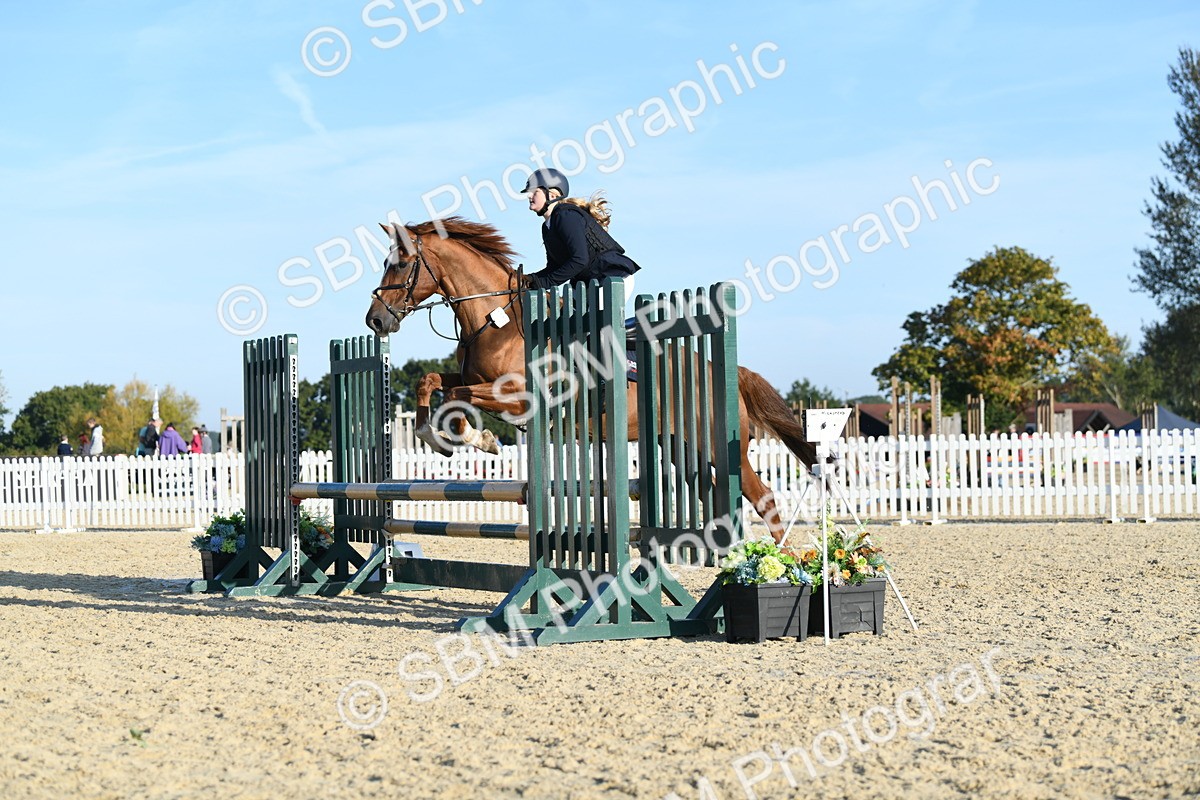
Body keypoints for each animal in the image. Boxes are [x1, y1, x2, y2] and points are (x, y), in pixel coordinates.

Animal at [364, 217, 817, 542]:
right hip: (681, 448)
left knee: (763, 497)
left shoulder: (515, 395)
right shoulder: (472, 377)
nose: (375, 321)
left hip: (719, 447)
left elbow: (457, 397)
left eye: (400, 264)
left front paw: (477, 438)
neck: (494, 319)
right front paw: (432, 434)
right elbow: (430, 381)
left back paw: (781, 564)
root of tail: (725, 370)